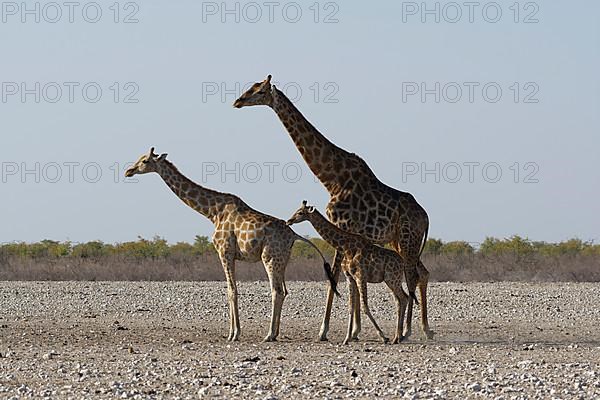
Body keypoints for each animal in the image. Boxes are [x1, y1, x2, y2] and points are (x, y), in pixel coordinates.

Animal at [123, 148, 338, 342]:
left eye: (145, 161)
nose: (128, 171)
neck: (212, 212)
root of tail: (294, 235)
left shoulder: (224, 251)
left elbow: (231, 291)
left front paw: (233, 334)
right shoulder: (232, 254)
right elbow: (231, 290)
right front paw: (233, 332)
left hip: (269, 257)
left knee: (276, 291)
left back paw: (268, 335)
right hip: (282, 260)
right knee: (284, 290)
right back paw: (275, 333)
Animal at [288, 202, 414, 346]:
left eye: (300, 213)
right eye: (297, 210)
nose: (289, 221)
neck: (345, 246)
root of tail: (402, 262)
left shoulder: (360, 276)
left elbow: (364, 306)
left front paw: (383, 336)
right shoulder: (350, 277)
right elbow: (350, 307)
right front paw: (346, 339)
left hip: (392, 279)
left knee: (403, 298)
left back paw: (396, 337)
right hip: (391, 280)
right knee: (400, 300)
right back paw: (397, 337)